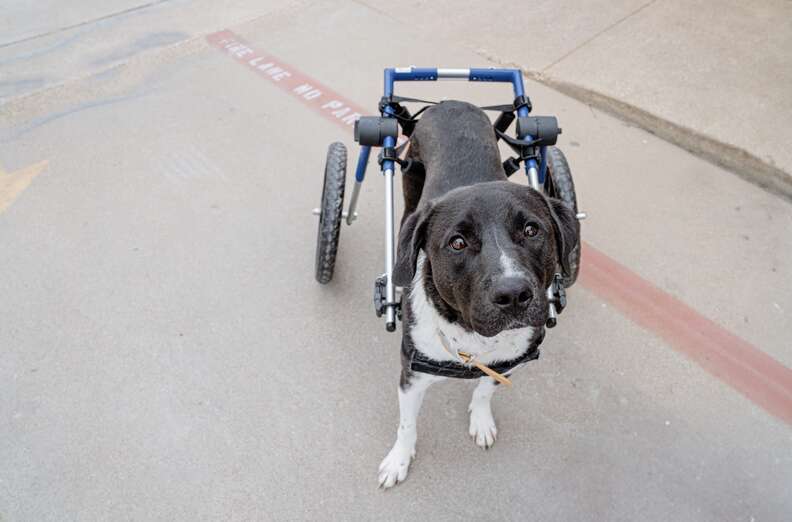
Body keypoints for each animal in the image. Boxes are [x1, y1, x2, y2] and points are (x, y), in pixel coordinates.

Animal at [378, 99, 576, 486]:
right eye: (457, 242)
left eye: (532, 230)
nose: (513, 294)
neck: (473, 338)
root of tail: (451, 102)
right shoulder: (411, 373)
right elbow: (407, 425)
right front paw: (398, 460)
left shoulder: (509, 364)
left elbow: (485, 390)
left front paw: (481, 421)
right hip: (409, 188)